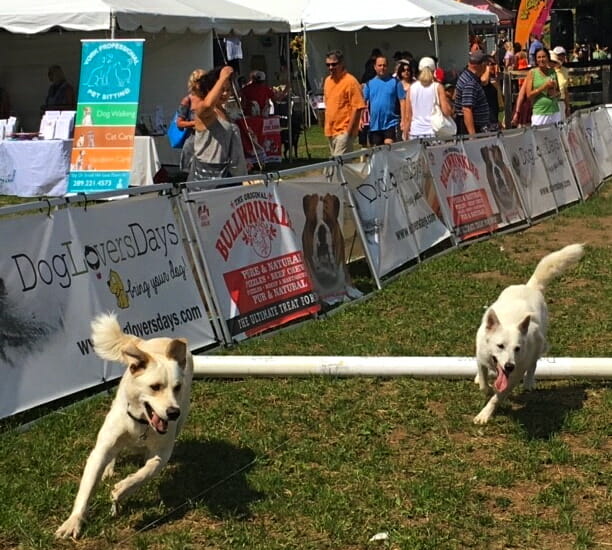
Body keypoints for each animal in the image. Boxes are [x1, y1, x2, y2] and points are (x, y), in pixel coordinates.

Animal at [56, 314, 194, 540]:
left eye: (177, 387)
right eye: (155, 387)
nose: (174, 412)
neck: (140, 423)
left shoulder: (162, 452)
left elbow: (146, 471)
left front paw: (122, 491)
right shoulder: (100, 450)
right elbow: (86, 488)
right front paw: (73, 521)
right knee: (113, 451)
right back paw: (109, 468)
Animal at [474, 245, 584, 426]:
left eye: (517, 348)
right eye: (500, 346)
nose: (509, 366)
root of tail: (531, 287)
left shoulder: (514, 375)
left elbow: (497, 397)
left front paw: (485, 413)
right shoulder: (481, 356)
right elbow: (483, 379)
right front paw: (486, 387)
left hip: (539, 342)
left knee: (533, 364)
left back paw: (529, 382)